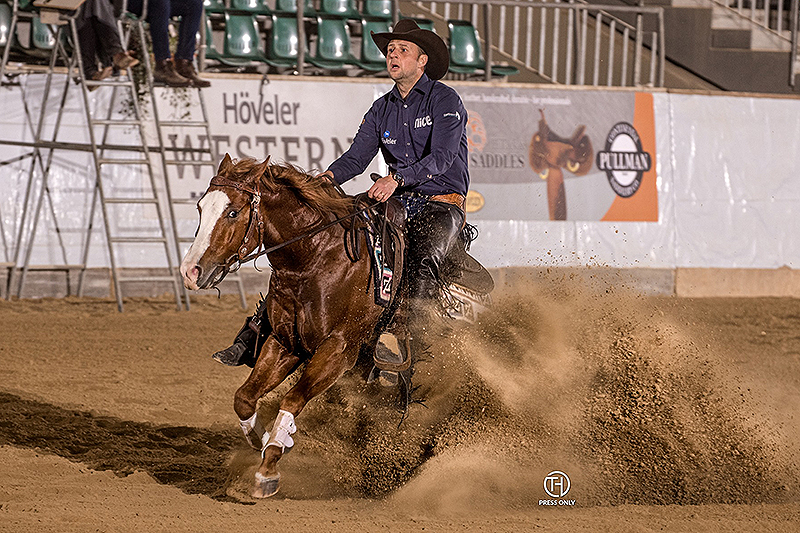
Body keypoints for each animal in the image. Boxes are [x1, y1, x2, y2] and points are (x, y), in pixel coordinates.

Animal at [181, 153, 394, 494]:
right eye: (201, 208)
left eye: (233, 212)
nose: (190, 272)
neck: (316, 258)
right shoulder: (284, 343)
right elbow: (244, 398)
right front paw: (266, 440)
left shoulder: (338, 351)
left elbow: (293, 399)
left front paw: (269, 467)